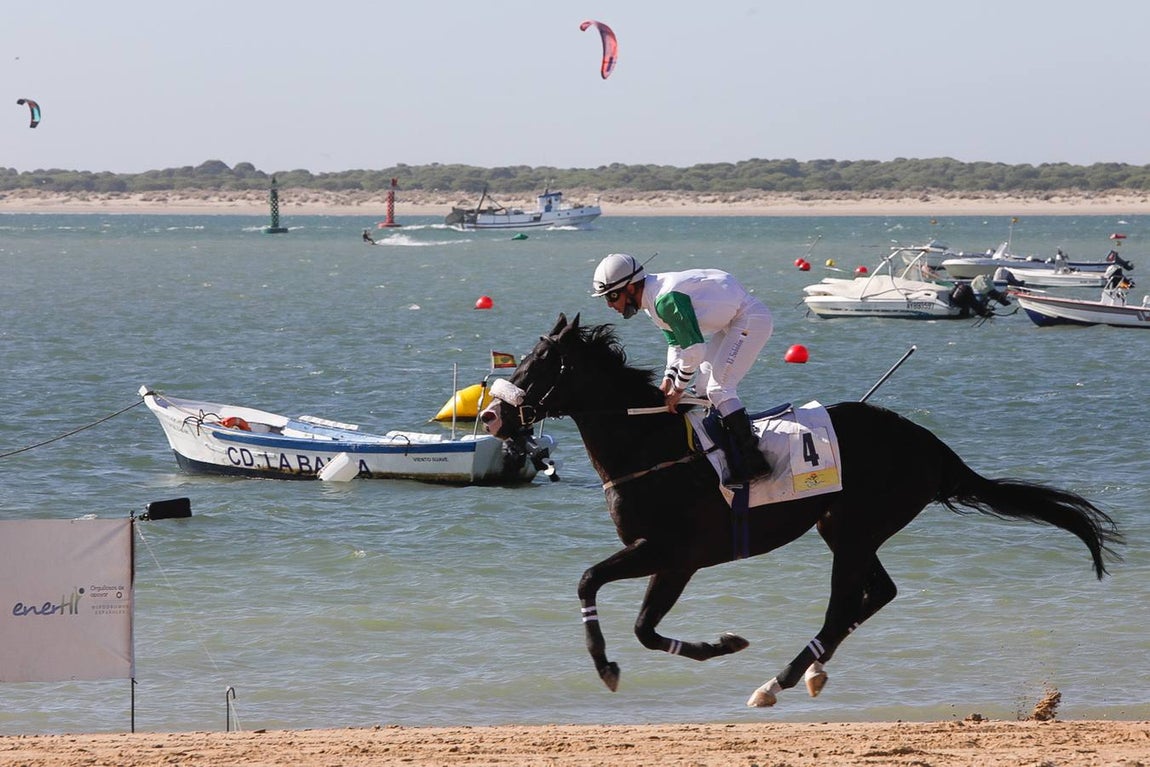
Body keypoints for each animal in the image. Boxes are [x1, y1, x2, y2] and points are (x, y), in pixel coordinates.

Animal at [479, 314, 1123, 707]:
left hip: (857, 527)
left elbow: (601, 591)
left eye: (538, 364)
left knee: (843, 605)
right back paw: (811, 670)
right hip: (846, 529)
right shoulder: (669, 558)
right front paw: (716, 645)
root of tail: (925, 442)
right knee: (878, 592)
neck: (651, 449)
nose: (490, 416)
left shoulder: (673, 553)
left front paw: (613, 667)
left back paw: (778, 681)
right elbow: (636, 621)